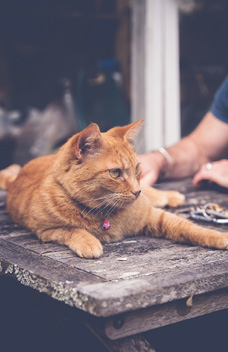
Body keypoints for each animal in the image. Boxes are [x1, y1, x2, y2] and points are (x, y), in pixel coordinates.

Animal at [0, 121, 228, 258]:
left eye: (137, 169)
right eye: (115, 173)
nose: (136, 191)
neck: (104, 214)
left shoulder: (152, 216)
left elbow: (187, 227)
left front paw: (218, 236)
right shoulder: (45, 230)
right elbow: (71, 230)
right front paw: (89, 242)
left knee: (155, 194)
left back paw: (172, 196)